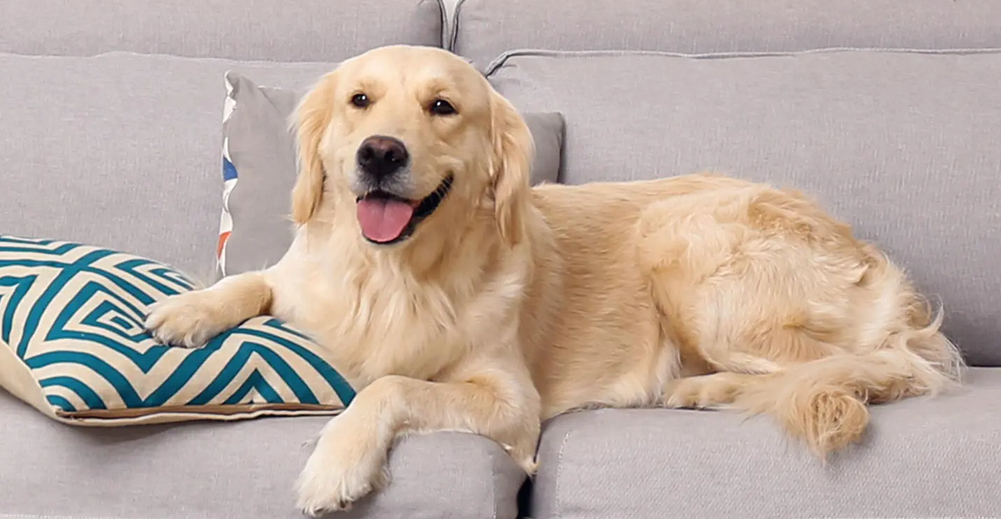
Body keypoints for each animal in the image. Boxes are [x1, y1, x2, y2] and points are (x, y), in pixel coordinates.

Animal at [143, 45, 960, 516]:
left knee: (877, 368)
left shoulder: (512, 405)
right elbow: (252, 281)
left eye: (443, 107)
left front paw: (333, 464)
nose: (378, 152)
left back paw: (706, 388)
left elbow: (390, 384)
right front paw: (184, 310)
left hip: (683, 244)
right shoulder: (300, 281)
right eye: (359, 101)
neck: (395, 271)